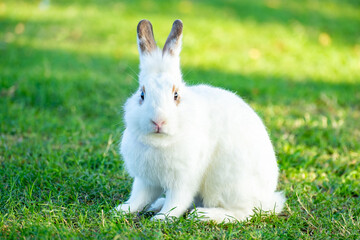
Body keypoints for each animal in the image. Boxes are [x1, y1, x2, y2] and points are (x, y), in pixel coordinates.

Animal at [114, 19, 284, 223]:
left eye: (176, 95)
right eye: (142, 94)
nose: (158, 121)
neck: (160, 142)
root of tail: (268, 199)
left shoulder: (183, 180)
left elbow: (177, 201)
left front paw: (162, 219)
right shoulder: (146, 180)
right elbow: (138, 198)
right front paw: (121, 210)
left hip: (227, 185)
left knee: (243, 213)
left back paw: (203, 215)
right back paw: (158, 204)